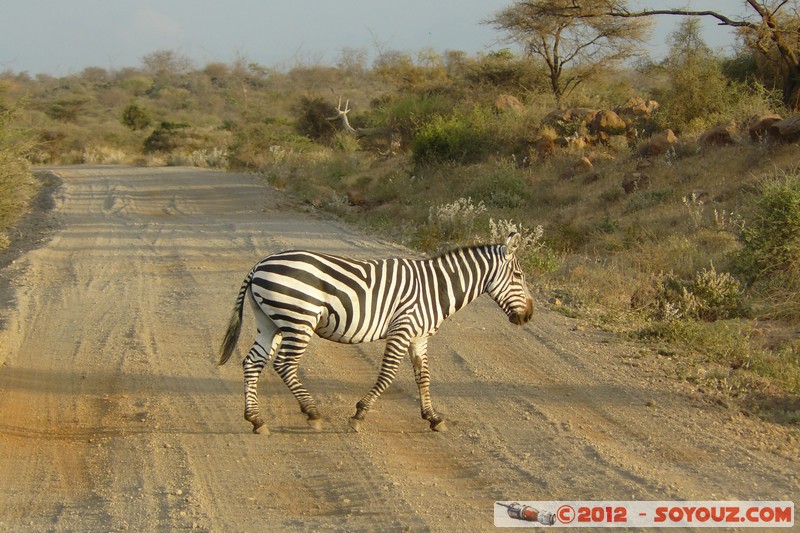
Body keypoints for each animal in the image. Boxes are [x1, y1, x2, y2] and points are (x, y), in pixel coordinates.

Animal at [219, 232, 532, 432]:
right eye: (519, 276)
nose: (528, 316)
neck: (436, 288)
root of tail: (259, 265)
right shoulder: (402, 328)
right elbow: (388, 374)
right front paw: (359, 414)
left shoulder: (418, 337)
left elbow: (423, 377)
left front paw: (432, 417)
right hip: (299, 319)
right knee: (284, 364)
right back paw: (312, 412)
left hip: (271, 322)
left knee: (252, 363)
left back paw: (256, 420)